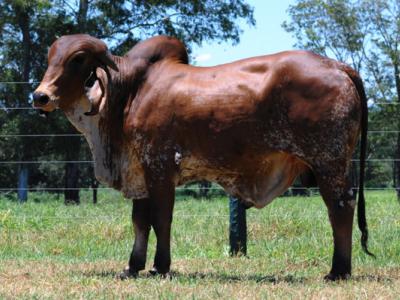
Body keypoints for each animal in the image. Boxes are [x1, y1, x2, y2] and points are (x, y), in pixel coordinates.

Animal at [33, 34, 372, 280]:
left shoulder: (160, 166)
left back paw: (337, 271)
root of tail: (338, 66)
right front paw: (132, 266)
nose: (40, 96)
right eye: (50, 58)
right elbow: (140, 221)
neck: (127, 93)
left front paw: (160, 266)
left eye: (78, 59)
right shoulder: (138, 170)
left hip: (329, 161)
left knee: (340, 207)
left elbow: (161, 218)